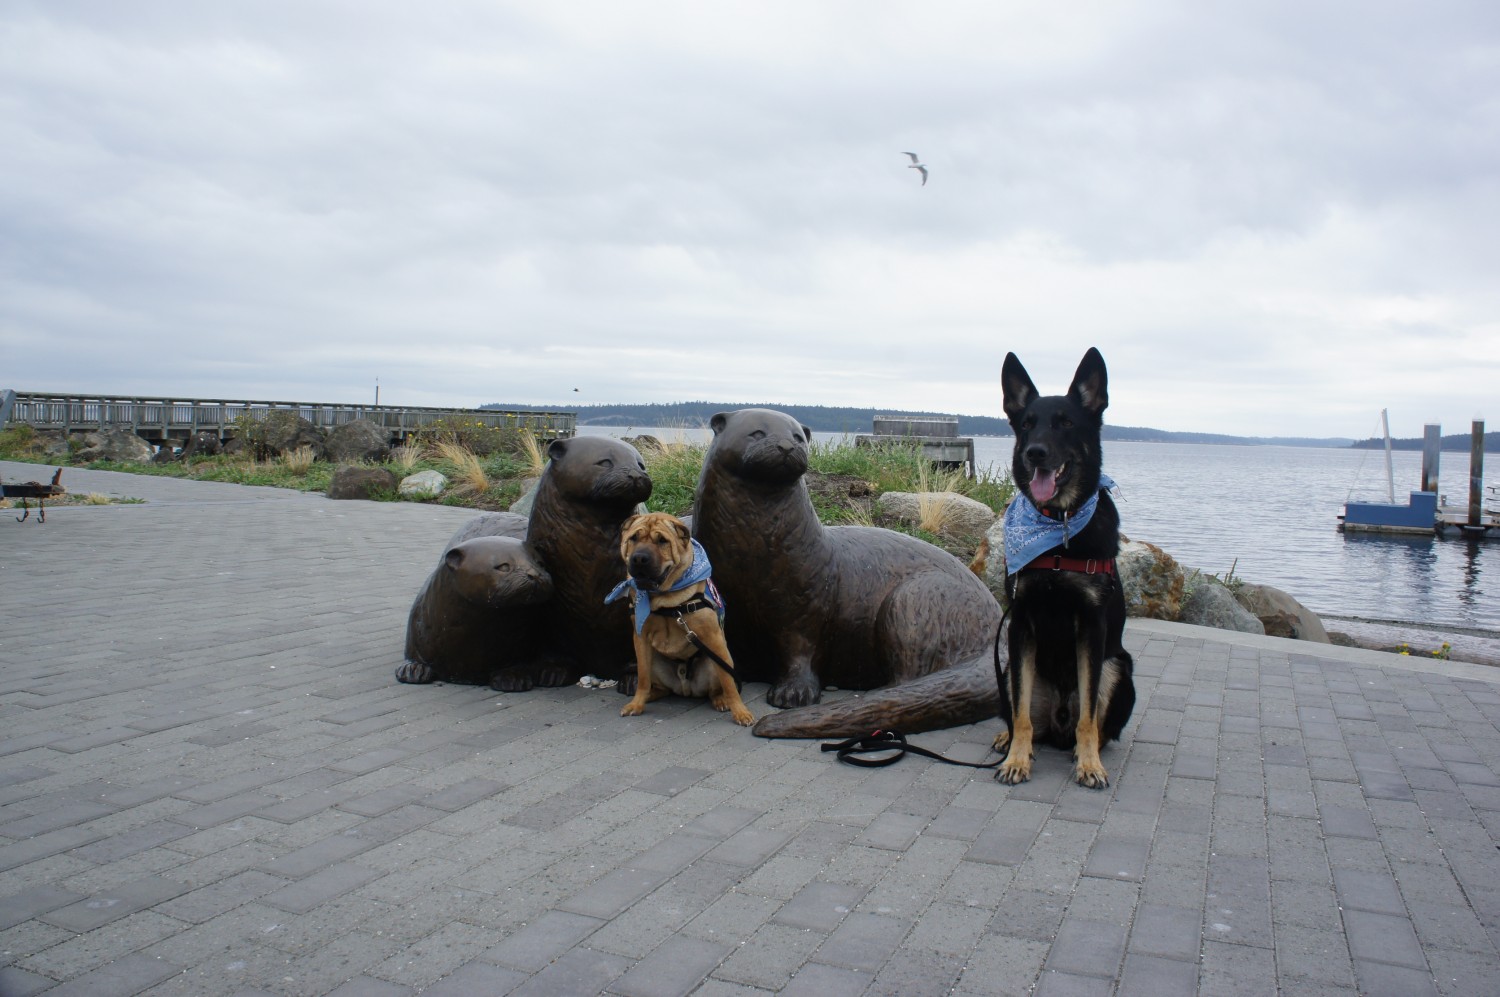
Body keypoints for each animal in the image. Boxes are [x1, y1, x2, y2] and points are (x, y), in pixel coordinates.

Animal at [606, 512, 756, 722]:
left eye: (662, 541)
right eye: (633, 538)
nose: (639, 558)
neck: (665, 601)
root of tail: (686, 688)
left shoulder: (713, 637)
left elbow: (728, 681)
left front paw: (740, 711)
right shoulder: (640, 638)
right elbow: (642, 678)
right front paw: (637, 704)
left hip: (715, 660)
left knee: (717, 687)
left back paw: (722, 700)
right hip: (655, 661)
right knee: (659, 686)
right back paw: (650, 695)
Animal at [996, 346, 1134, 791]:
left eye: (1066, 423)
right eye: (1026, 424)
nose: (1034, 452)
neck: (1059, 525)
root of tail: (1056, 721)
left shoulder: (1092, 627)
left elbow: (1088, 718)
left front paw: (1089, 765)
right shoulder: (1021, 624)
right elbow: (1020, 714)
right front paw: (1017, 759)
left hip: (1119, 667)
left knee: (1096, 725)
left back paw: (1083, 751)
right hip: (1009, 666)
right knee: (1019, 713)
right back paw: (1007, 739)